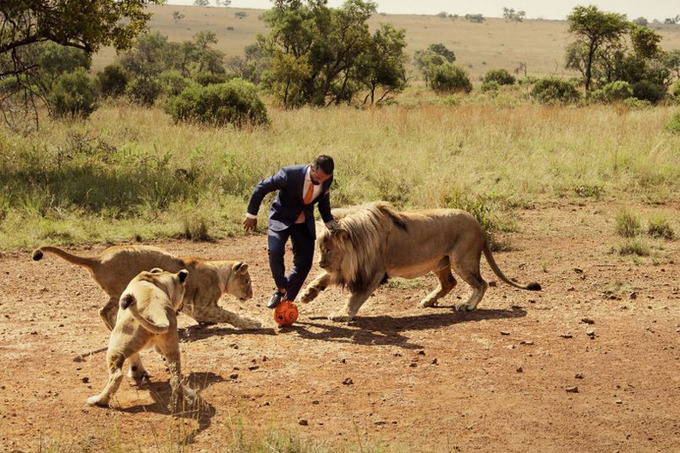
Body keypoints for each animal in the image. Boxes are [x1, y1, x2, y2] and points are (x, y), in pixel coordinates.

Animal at [300, 201, 540, 322]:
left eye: (328, 249)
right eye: (320, 249)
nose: (320, 263)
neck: (357, 242)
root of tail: (478, 223)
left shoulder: (373, 272)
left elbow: (355, 297)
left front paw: (342, 314)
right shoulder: (346, 267)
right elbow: (323, 278)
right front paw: (307, 293)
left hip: (462, 259)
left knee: (481, 283)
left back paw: (467, 305)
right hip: (441, 262)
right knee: (450, 283)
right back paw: (428, 300)